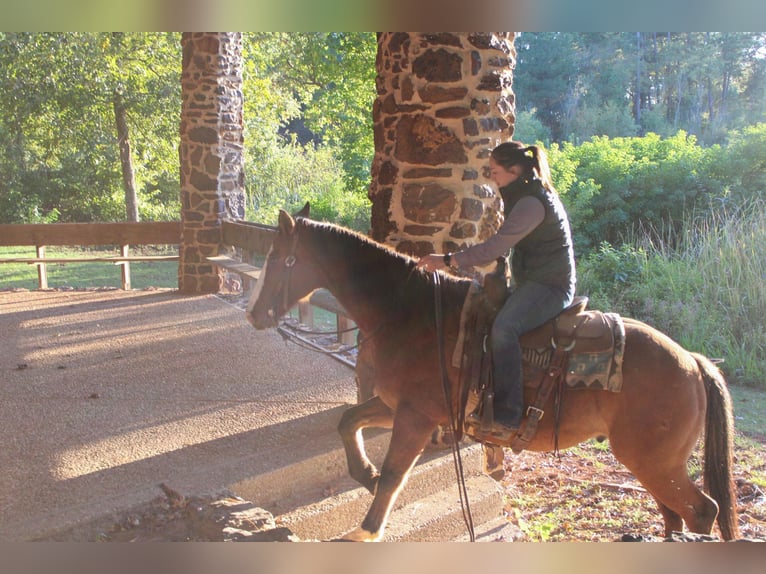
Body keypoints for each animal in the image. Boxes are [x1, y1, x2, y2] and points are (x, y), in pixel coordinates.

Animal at [246, 206, 736, 544]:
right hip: (654, 464)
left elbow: (394, 474)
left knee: (701, 511)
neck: (409, 312)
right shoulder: (397, 405)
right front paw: (363, 472)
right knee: (674, 513)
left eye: (280, 258)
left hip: (656, 462)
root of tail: (693, 362)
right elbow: (348, 421)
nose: (254, 315)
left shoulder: (416, 417)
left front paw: (366, 528)